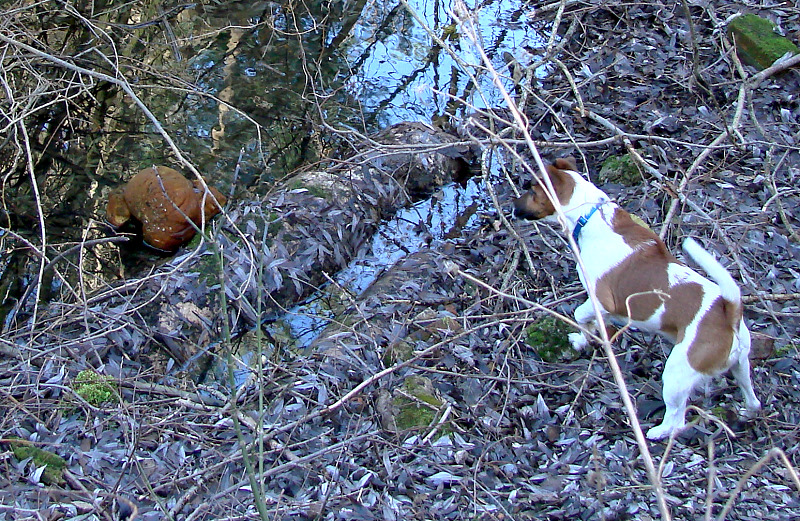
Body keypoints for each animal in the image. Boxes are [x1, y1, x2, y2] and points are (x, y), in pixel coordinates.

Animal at [512, 156, 764, 436]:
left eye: (532, 191)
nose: (513, 207)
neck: (590, 216)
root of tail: (729, 314)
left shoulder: (601, 300)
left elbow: (580, 315)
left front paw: (582, 338)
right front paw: (586, 338)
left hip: (677, 373)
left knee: (677, 419)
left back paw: (657, 433)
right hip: (741, 366)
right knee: (753, 398)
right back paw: (746, 412)